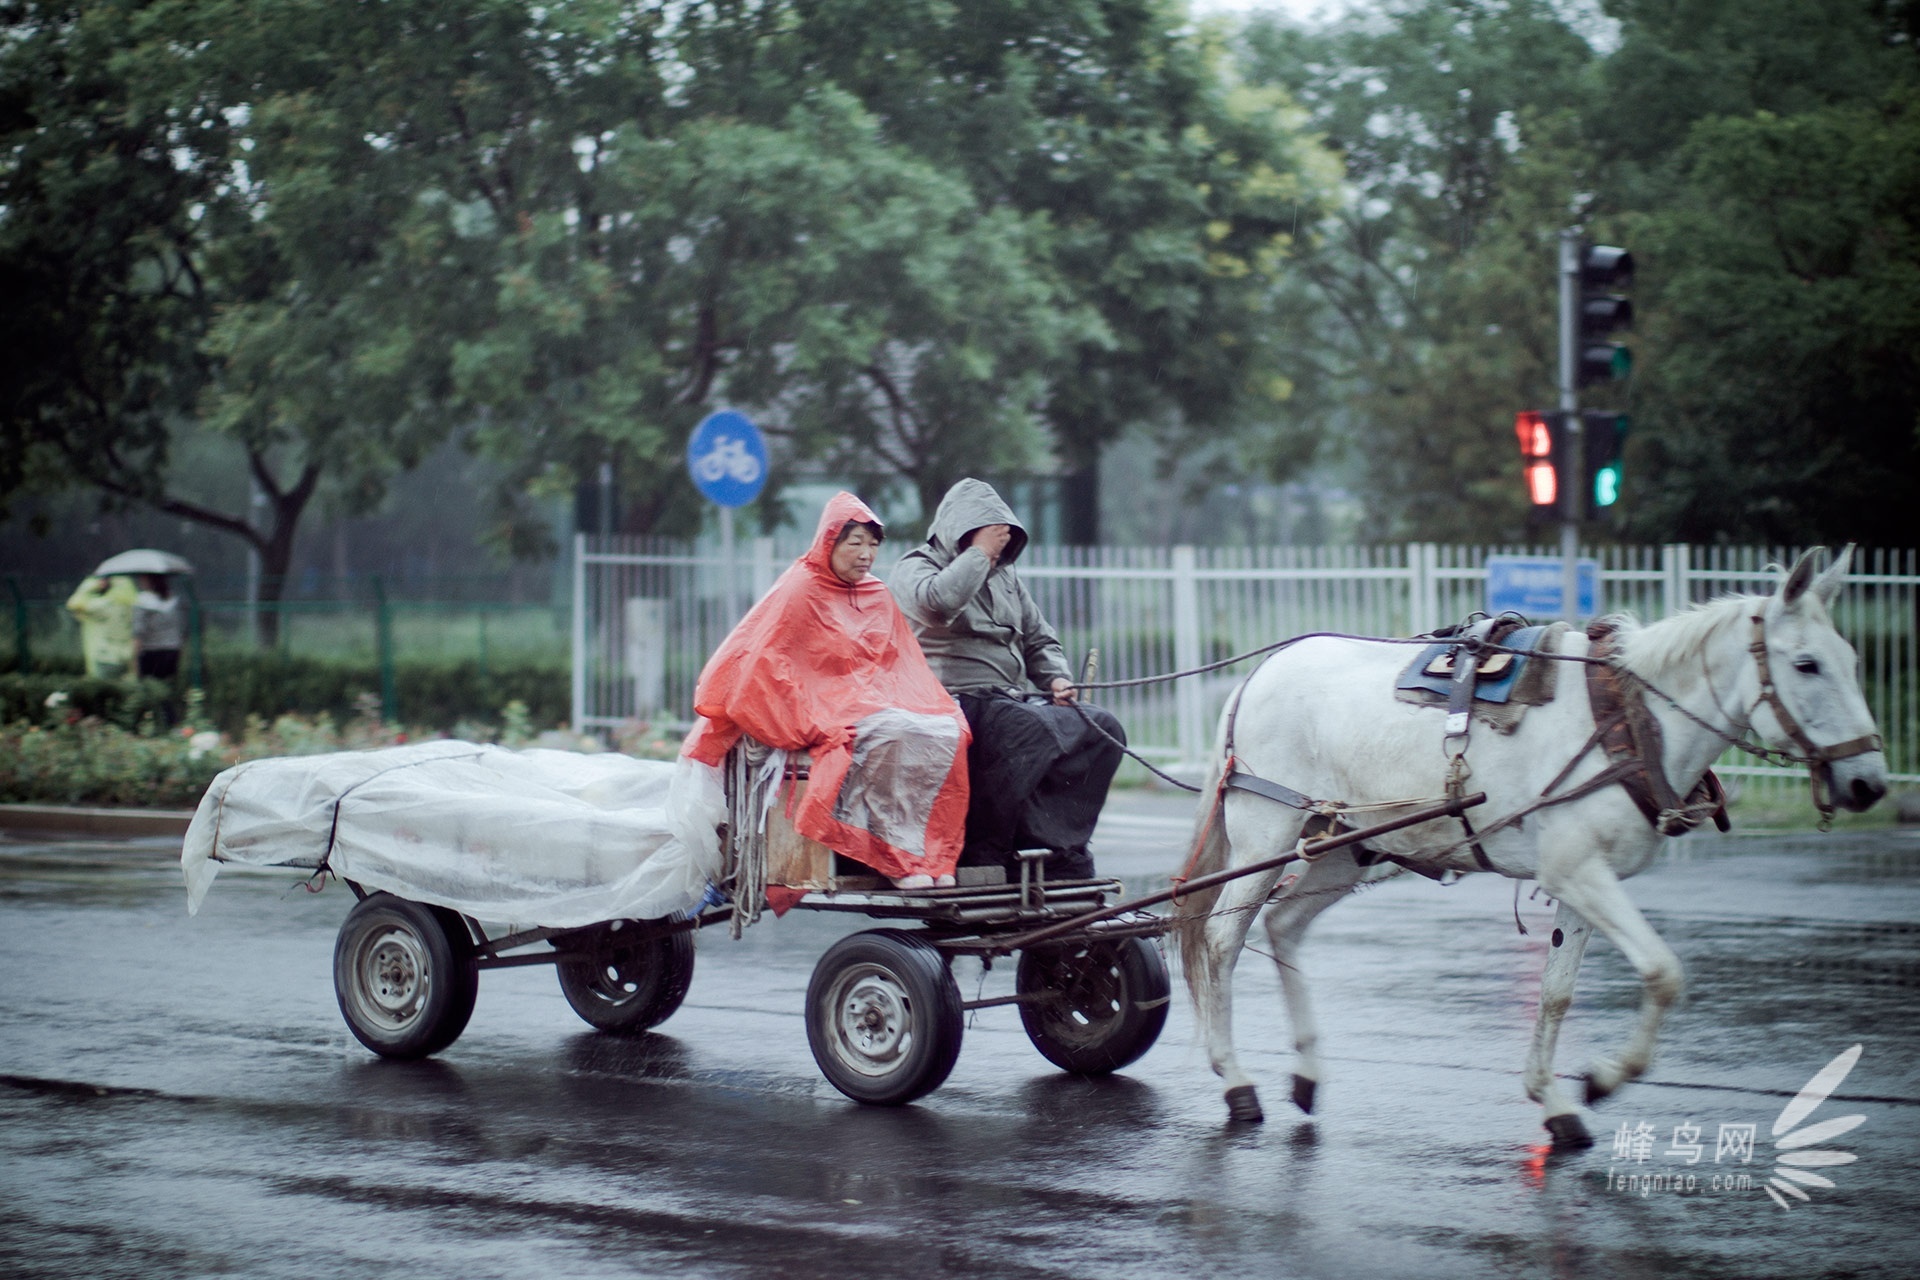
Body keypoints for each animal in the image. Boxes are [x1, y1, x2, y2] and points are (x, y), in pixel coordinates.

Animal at [1167, 545, 1889, 1143]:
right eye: (1806, 664)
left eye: (1856, 662)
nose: (1870, 782)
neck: (1628, 719)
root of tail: (1257, 676)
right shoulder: (1578, 872)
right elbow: (1662, 973)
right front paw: (1604, 1077)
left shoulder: (1582, 881)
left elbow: (1556, 994)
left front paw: (1554, 1098)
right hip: (1267, 835)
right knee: (1223, 941)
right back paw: (1236, 1081)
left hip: (1347, 848)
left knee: (1285, 927)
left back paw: (1308, 1071)